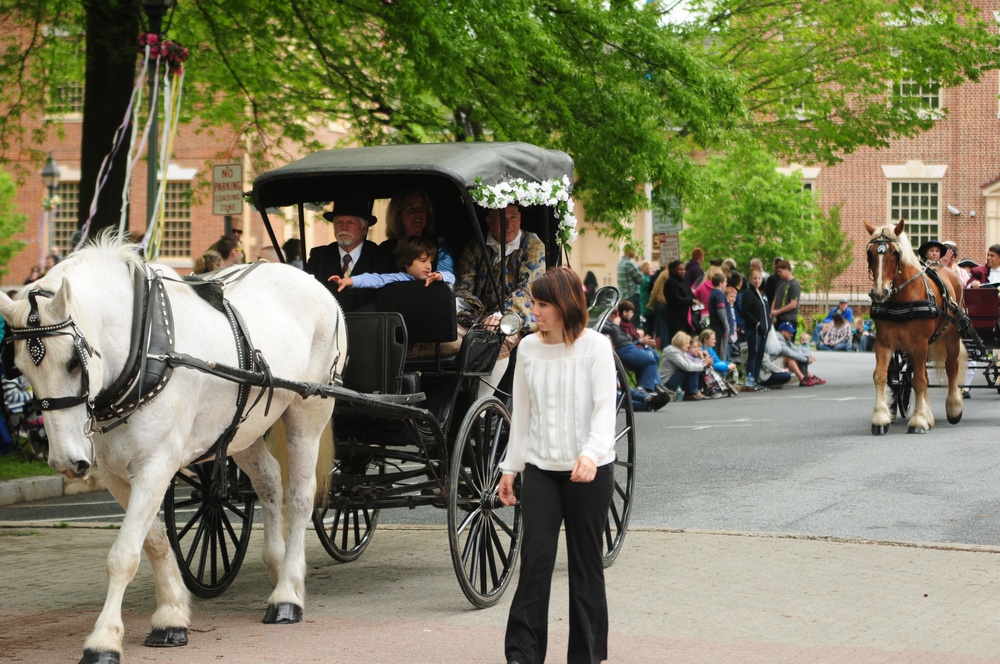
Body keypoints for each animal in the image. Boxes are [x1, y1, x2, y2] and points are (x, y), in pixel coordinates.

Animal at [0, 236, 346, 660]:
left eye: (71, 362)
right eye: (21, 368)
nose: (67, 461)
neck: (144, 350)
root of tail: (315, 283)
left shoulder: (156, 464)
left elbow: (124, 555)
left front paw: (104, 639)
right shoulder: (117, 474)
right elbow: (153, 542)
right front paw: (171, 616)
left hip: (308, 410)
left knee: (299, 496)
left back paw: (287, 595)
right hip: (242, 428)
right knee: (269, 481)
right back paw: (278, 568)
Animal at [864, 219, 964, 436]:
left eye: (895, 253)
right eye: (870, 253)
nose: (879, 293)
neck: (902, 298)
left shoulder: (919, 344)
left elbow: (919, 381)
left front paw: (918, 421)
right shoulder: (883, 344)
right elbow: (880, 376)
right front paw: (880, 418)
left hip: (951, 336)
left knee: (951, 367)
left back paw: (953, 407)